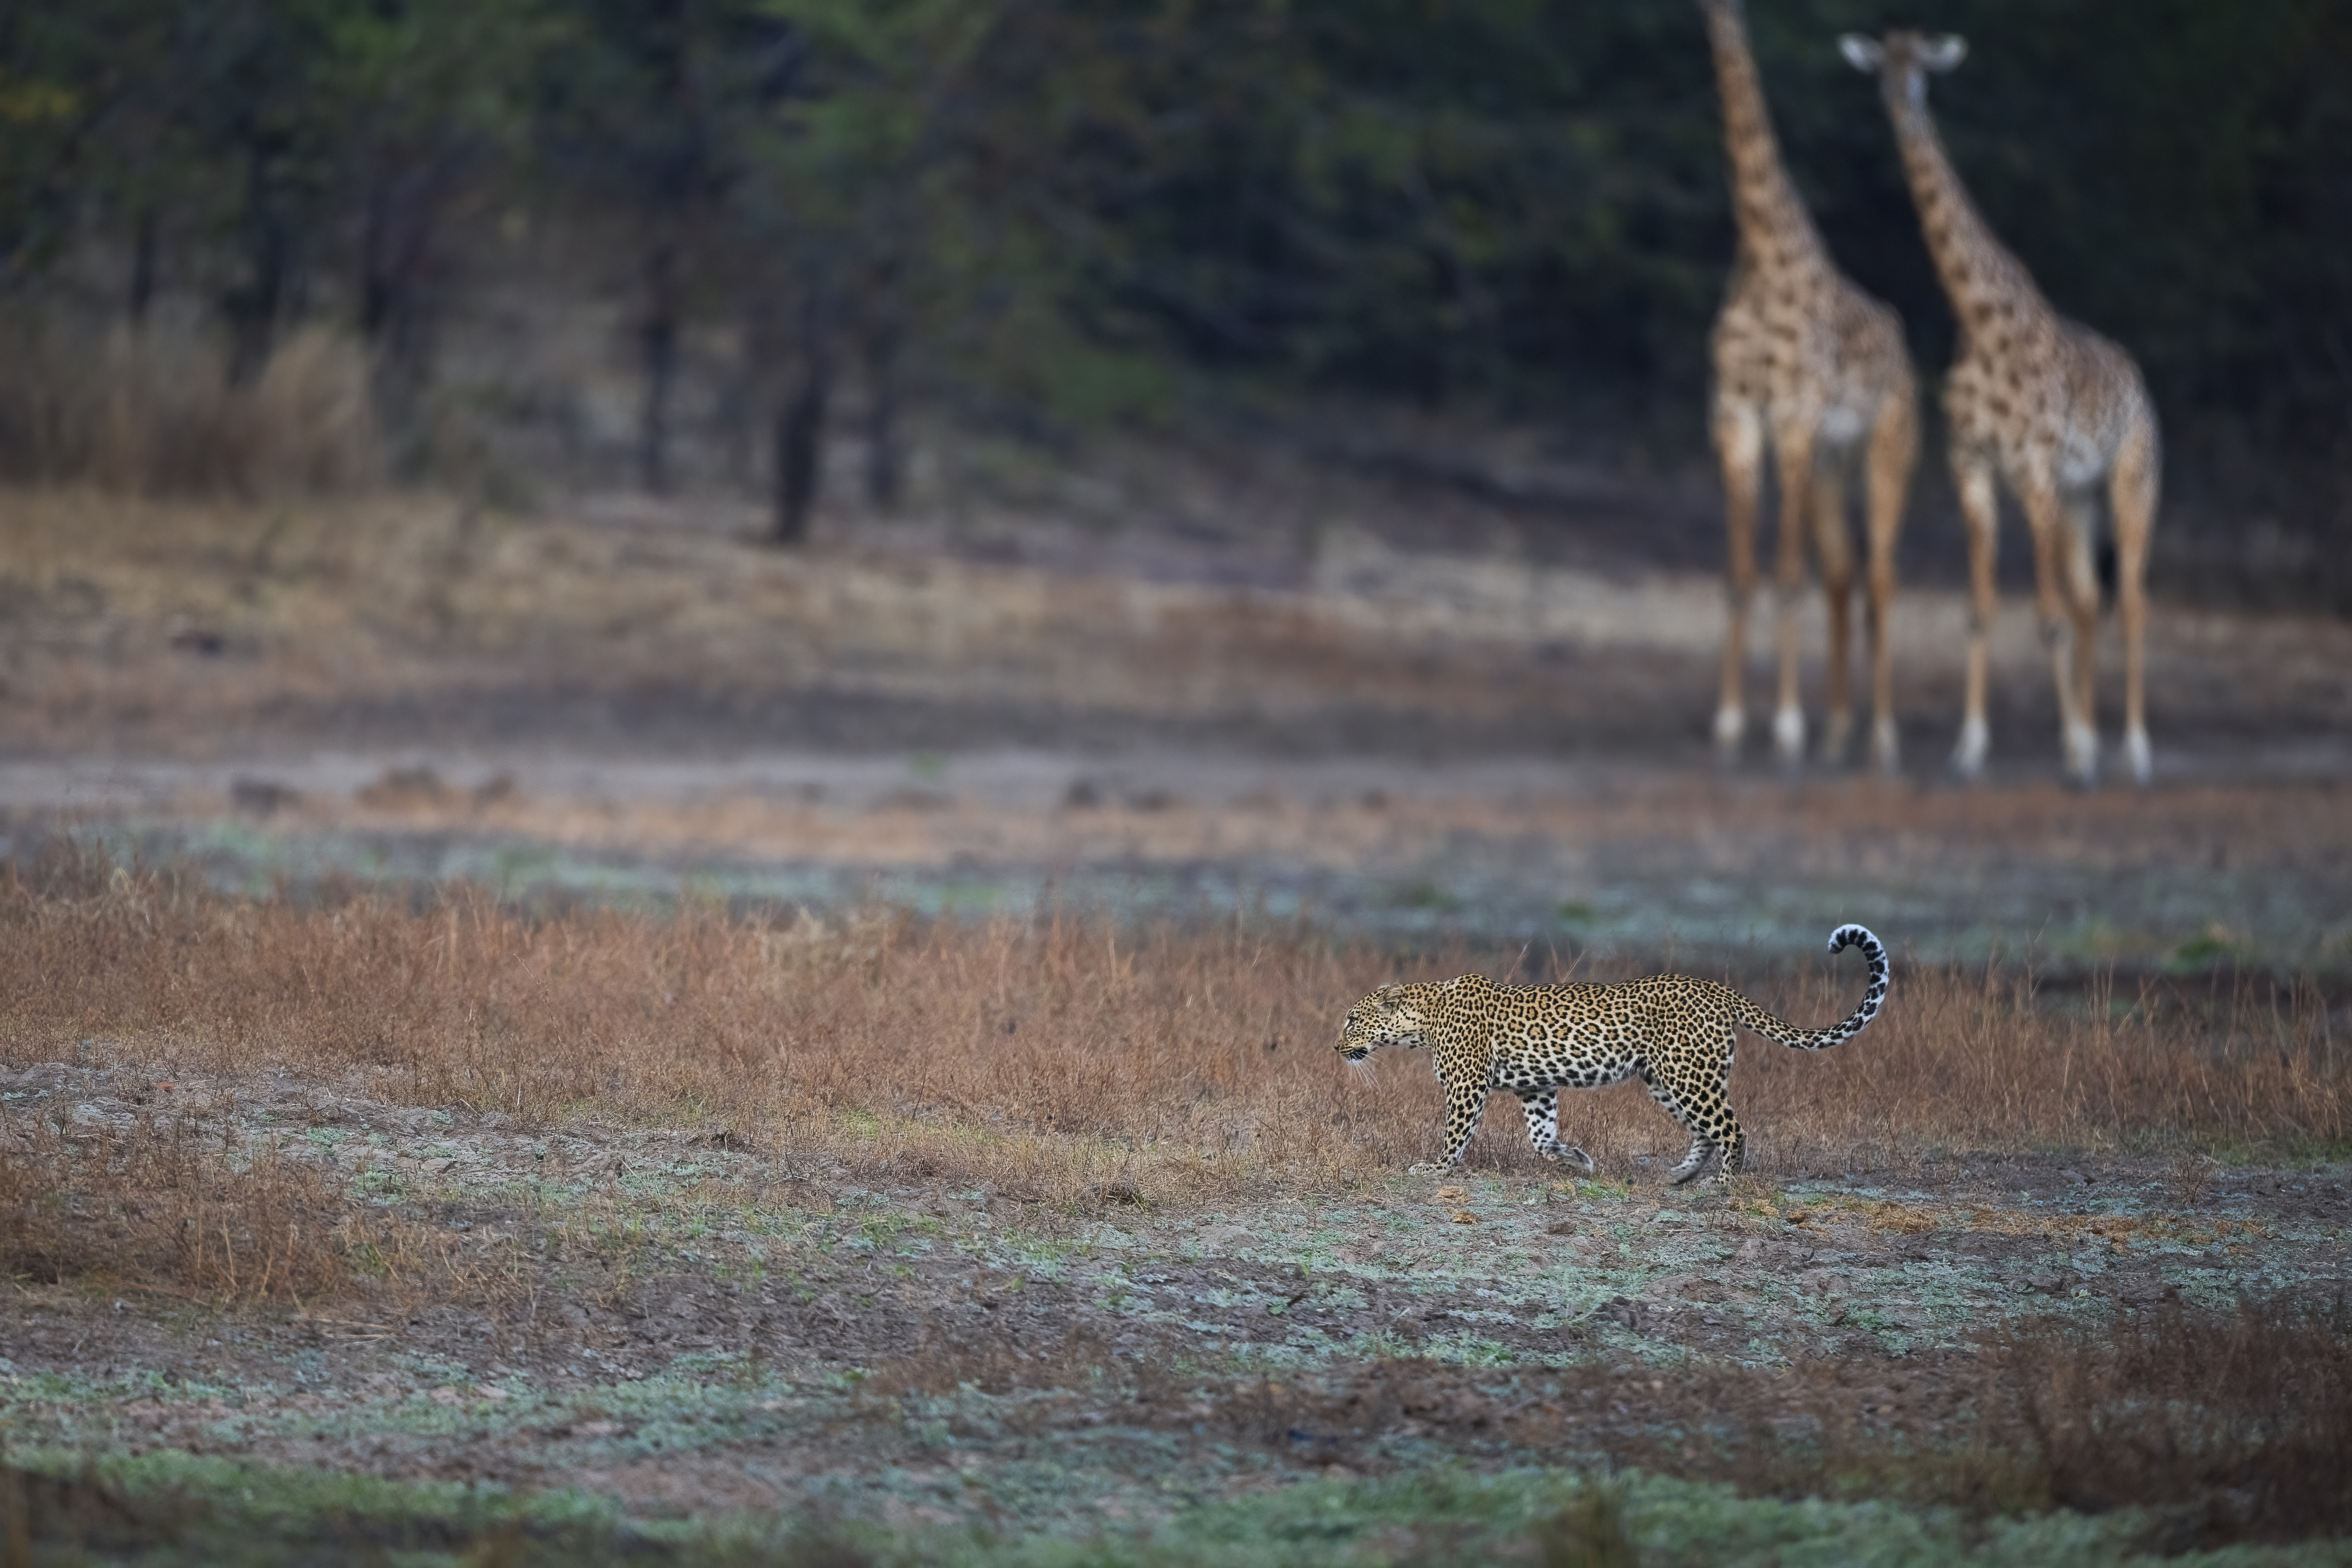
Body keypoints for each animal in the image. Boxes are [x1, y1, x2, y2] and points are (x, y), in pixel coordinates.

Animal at [1336, 924, 1889, 1185]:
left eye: (1352, 1020)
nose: (1336, 1047)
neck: (1421, 1019)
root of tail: (1719, 989)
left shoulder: (1467, 1085)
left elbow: (1455, 1133)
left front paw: (1435, 1169)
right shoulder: (1537, 1087)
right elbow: (1541, 1138)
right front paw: (1578, 1160)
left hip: (1689, 1076)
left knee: (1732, 1130)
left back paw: (1725, 1186)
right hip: (1667, 1080)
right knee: (1705, 1133)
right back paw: (1680, 1176)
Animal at [1701, 0, 1918, 774]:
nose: (1714, 13)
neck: (1762, 249)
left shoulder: (1790, 418)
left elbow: (1785, 574)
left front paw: (1786, 730)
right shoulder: (1734, 416)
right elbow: (1740, 575)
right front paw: (1730, 726)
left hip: (1886, 447)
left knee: (1880, 574)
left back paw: (1882, 738)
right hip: (1831, 464)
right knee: (1843, 572)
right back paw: (1840, 733)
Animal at [1843, 31, 2159, 787]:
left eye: (1924, 69)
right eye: (1881, 67)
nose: (1900, 103)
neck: (1979, 318)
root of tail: (2140, 388)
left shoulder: (2032, 471)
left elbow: (2043, 615)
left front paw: (2074, 753)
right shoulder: (1974, 468)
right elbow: (1980, 608)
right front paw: (1970, 750)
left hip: (2130, 480)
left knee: (2132, 599)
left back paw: (2132, 752)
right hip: (2080, 497)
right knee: (2089, 599)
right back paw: (2095, 740)